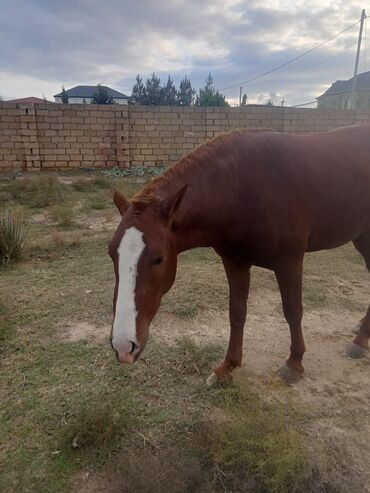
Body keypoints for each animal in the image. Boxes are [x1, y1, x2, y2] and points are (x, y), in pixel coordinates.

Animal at [108, 123, 370, 384]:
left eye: (159, 258)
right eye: (111, 254)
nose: (123, 346)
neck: (244, 188)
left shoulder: (290, 262)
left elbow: (293, 311)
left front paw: (294, 363)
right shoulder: (235, 262)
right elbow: (237, 312)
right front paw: (228, 367)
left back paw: (360, 340)